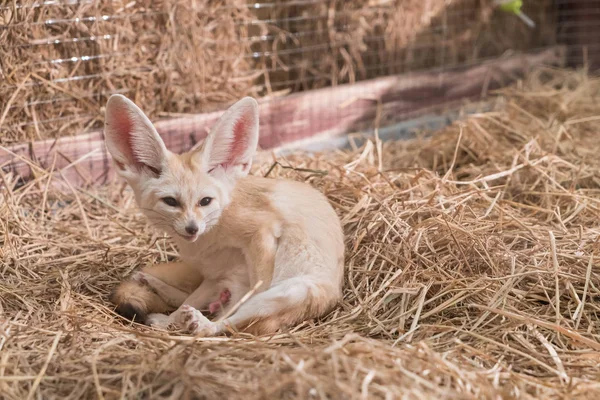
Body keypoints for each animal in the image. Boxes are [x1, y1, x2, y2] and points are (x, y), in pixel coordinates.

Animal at [105, 95, 344, 336]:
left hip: (290, 291)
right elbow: (188, 301)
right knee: (188, 303)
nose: (192, 228)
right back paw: (158, 296)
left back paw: (200, 323)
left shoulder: (262, 231)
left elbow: (256, 289)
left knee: (227, 322)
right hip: (222, 282)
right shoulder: (214, 275)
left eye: (205, 201)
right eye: (171, 201)